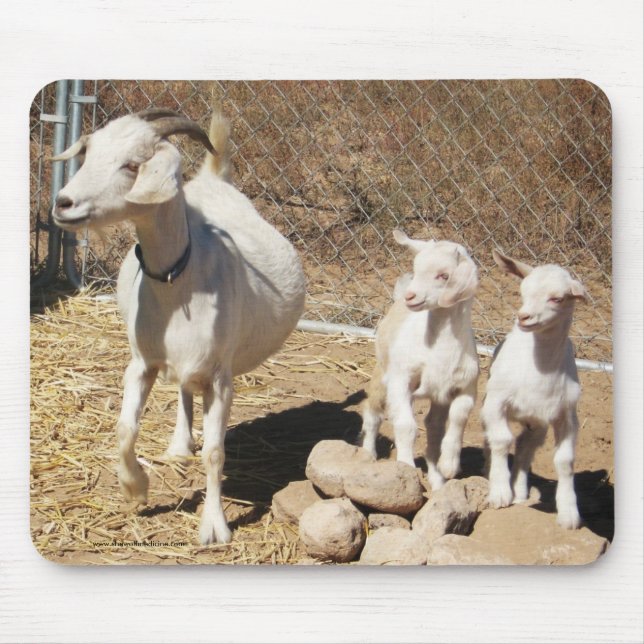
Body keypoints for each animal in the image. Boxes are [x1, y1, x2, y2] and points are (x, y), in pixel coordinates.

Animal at [52, 109, 306, 544]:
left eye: (132, 165)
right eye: (87, 154)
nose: (63, 203)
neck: (179, 280)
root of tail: (214, 178)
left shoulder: (220, 376)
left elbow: (216, 453)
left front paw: (214, 527)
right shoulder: (141, 363)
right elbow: (124, 429)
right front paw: (135, 488)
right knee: (184, 392)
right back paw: (178, 444)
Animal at [360, 230, 480, 490]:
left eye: (444, 275)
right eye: (415, 268)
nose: (411, 296)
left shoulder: (466, 386)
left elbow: (458, 418)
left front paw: (450, 465)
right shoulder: (401, 379)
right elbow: (406, 425)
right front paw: (405, 467)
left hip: (437, 396)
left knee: (434, 428)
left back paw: (438, 480)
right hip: (382, 374)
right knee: (373, 413)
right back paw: (368, 454)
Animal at [481, 250, 586, 529]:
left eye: (557, 298)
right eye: (523, 291)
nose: (524, 317)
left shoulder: (566, 415)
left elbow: (564, 461)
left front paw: (569, 514)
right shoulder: (495, 402)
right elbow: (500, 440)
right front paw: (499, 493)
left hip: (538, 424)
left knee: (524, 447)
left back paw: (520, 491)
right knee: (500, 440)